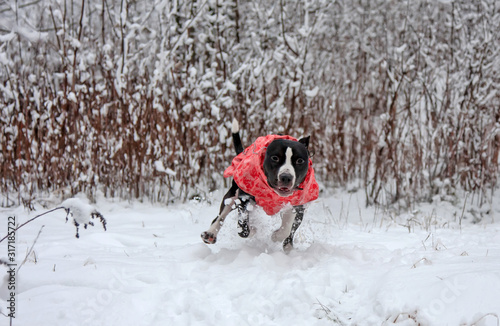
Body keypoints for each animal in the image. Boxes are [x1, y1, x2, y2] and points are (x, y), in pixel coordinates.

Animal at [200, 119, 320, 252]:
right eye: (275, 158)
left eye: (300, 160)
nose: (286, 177)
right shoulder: (244, 198)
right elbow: (243, 229)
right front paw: (253, 230)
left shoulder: (297, 205)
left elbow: (287, 227)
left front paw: (276, 236)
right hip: (232, 195)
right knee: (220, 216)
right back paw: (210, 234)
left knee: (291, 232)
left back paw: (288, 247)